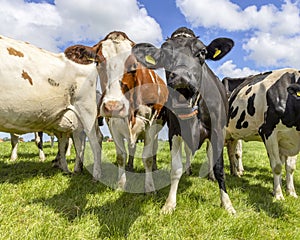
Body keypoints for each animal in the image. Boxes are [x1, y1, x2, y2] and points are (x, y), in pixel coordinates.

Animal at [0, 34, 102, 180]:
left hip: (87, 110)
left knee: (94, 140)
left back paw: (96, 175)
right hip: (65, 118)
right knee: (71, 141)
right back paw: (68, 169)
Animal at [65, 31, 169, 193]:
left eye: (134, 65)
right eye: (98, 62)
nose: (113, 106)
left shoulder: (151, 124)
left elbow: (147, 158)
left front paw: (150, 187)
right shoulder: (113, 124)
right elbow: (121, 156)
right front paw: (120, 185)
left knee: (154, 149)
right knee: (132, 148)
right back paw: (130, 166)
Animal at [132, 26, 236, 214]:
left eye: (202, 52)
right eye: (164, 54)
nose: (181, 77)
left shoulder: (218, 130)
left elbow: (219, 168)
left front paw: (227, 204)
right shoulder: (174, 131)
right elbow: (176, 169)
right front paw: (169, 204)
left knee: (210, 153)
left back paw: (210, 175)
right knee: (189, 152)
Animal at [225, 68, 300, 200]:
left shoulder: (292, 138)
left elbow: (290, 167)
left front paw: (292, 193)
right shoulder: (268, 132)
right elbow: (277, 166)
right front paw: (278, 194)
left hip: (233, 134)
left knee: (231, 152)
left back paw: (235, 173)